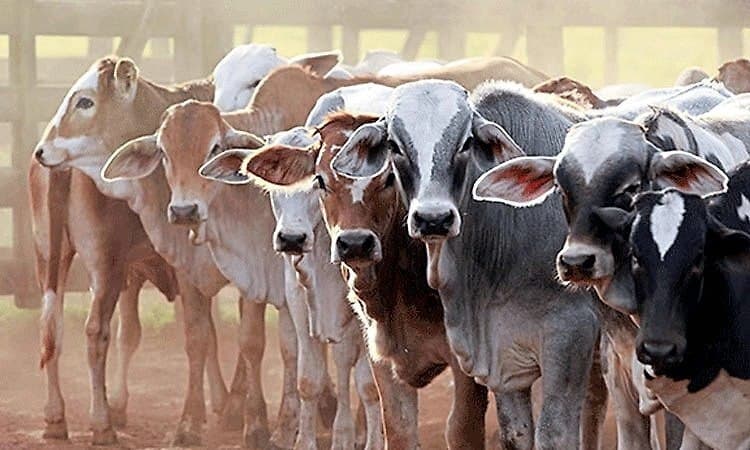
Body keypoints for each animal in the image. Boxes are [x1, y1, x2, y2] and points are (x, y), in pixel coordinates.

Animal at [31, 54, 336, 447]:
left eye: (85, 101)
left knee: (61, 330)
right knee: (89, 331)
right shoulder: (204, 269)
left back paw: (67, 418)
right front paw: (227, 419)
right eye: (164, 151)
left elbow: (239, 340)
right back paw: (98, 420)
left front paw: (245, 417)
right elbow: (210, 338)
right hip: (95, 262)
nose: (43, 150)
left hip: (61, 259)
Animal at [327, 79, 606, 449]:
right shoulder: (501, 358)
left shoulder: (571, 335)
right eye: (394, 146)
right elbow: (516, 435)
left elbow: (553, 435)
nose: (433, 219)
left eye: (466, 143)